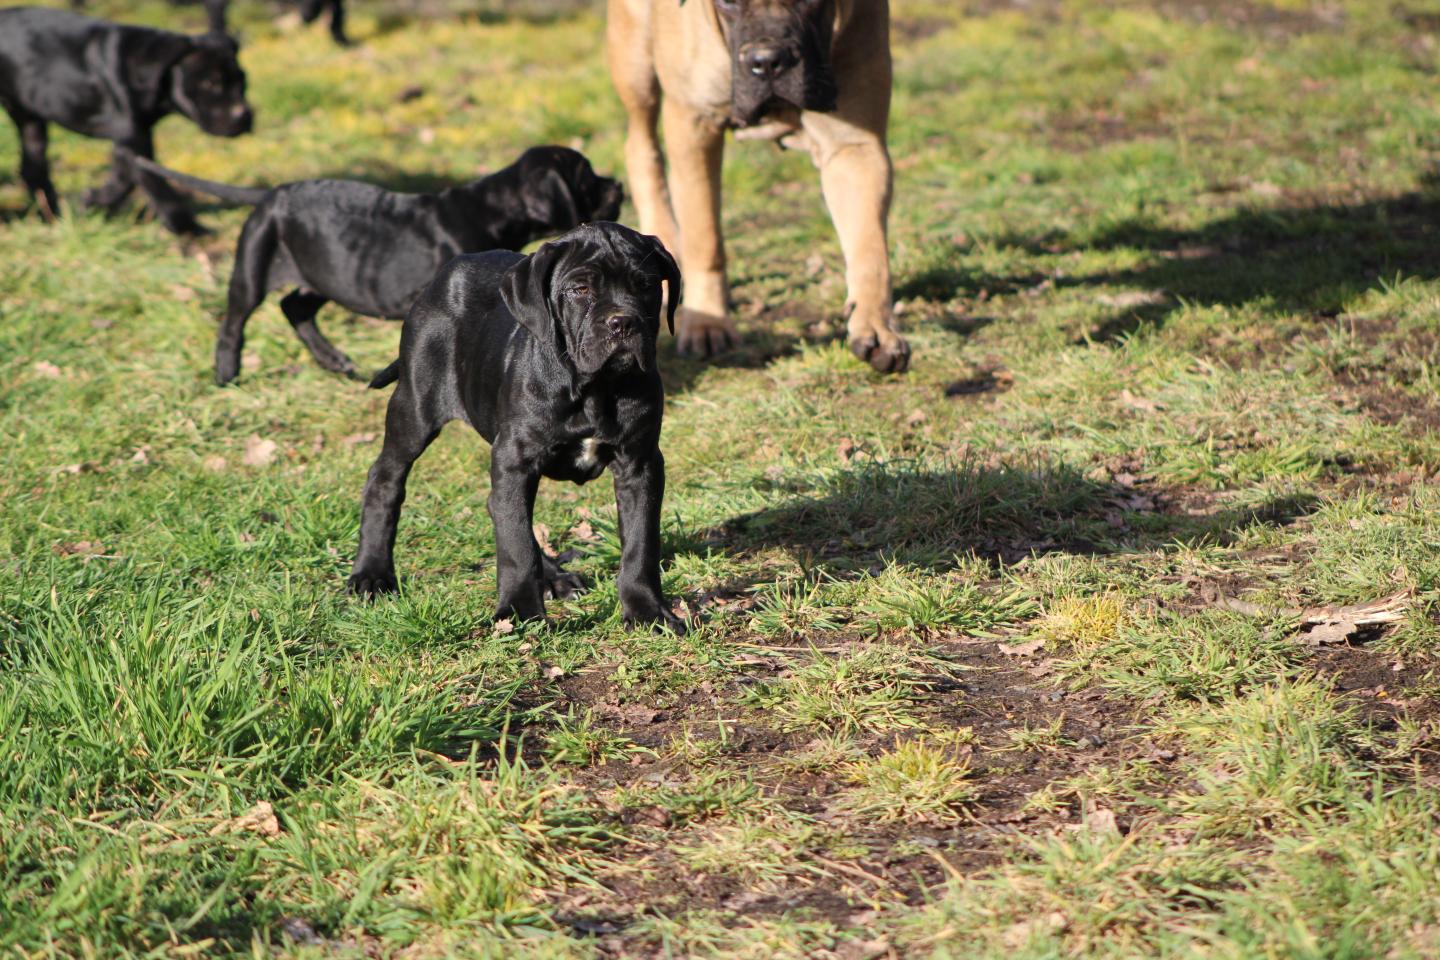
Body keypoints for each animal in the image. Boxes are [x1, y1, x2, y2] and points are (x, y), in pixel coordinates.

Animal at [0, 5, 253, 234]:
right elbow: (153, 182)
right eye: (210, 84)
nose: (244, 116)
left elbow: (125, 179)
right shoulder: (132, 137)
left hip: (30, 120)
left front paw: (92, 200)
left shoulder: (135, 136)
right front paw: (188, 227)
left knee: (32, 164)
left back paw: (52, 213)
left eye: (242, 81)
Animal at [136, 145, 624, 382]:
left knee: (295, 307)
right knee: (236, 320)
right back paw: (226, 374)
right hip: (255, 263)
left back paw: (334, 361)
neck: (489, 207)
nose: (618, 184)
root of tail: (269, 194)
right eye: (587, 178)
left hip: (323, 276)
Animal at [348, 221, 685, 633]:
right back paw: (372, 574)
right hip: (414, 406)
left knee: (499, 506)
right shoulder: (515, 459)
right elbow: (516, 545)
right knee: (385, 478)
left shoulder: (640, 462)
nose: (623, 322)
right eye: (580, 289)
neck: (595, 388)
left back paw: (555, 577)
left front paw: (647, 611)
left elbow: (641, 541)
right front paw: (520, 612)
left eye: (646, 285)